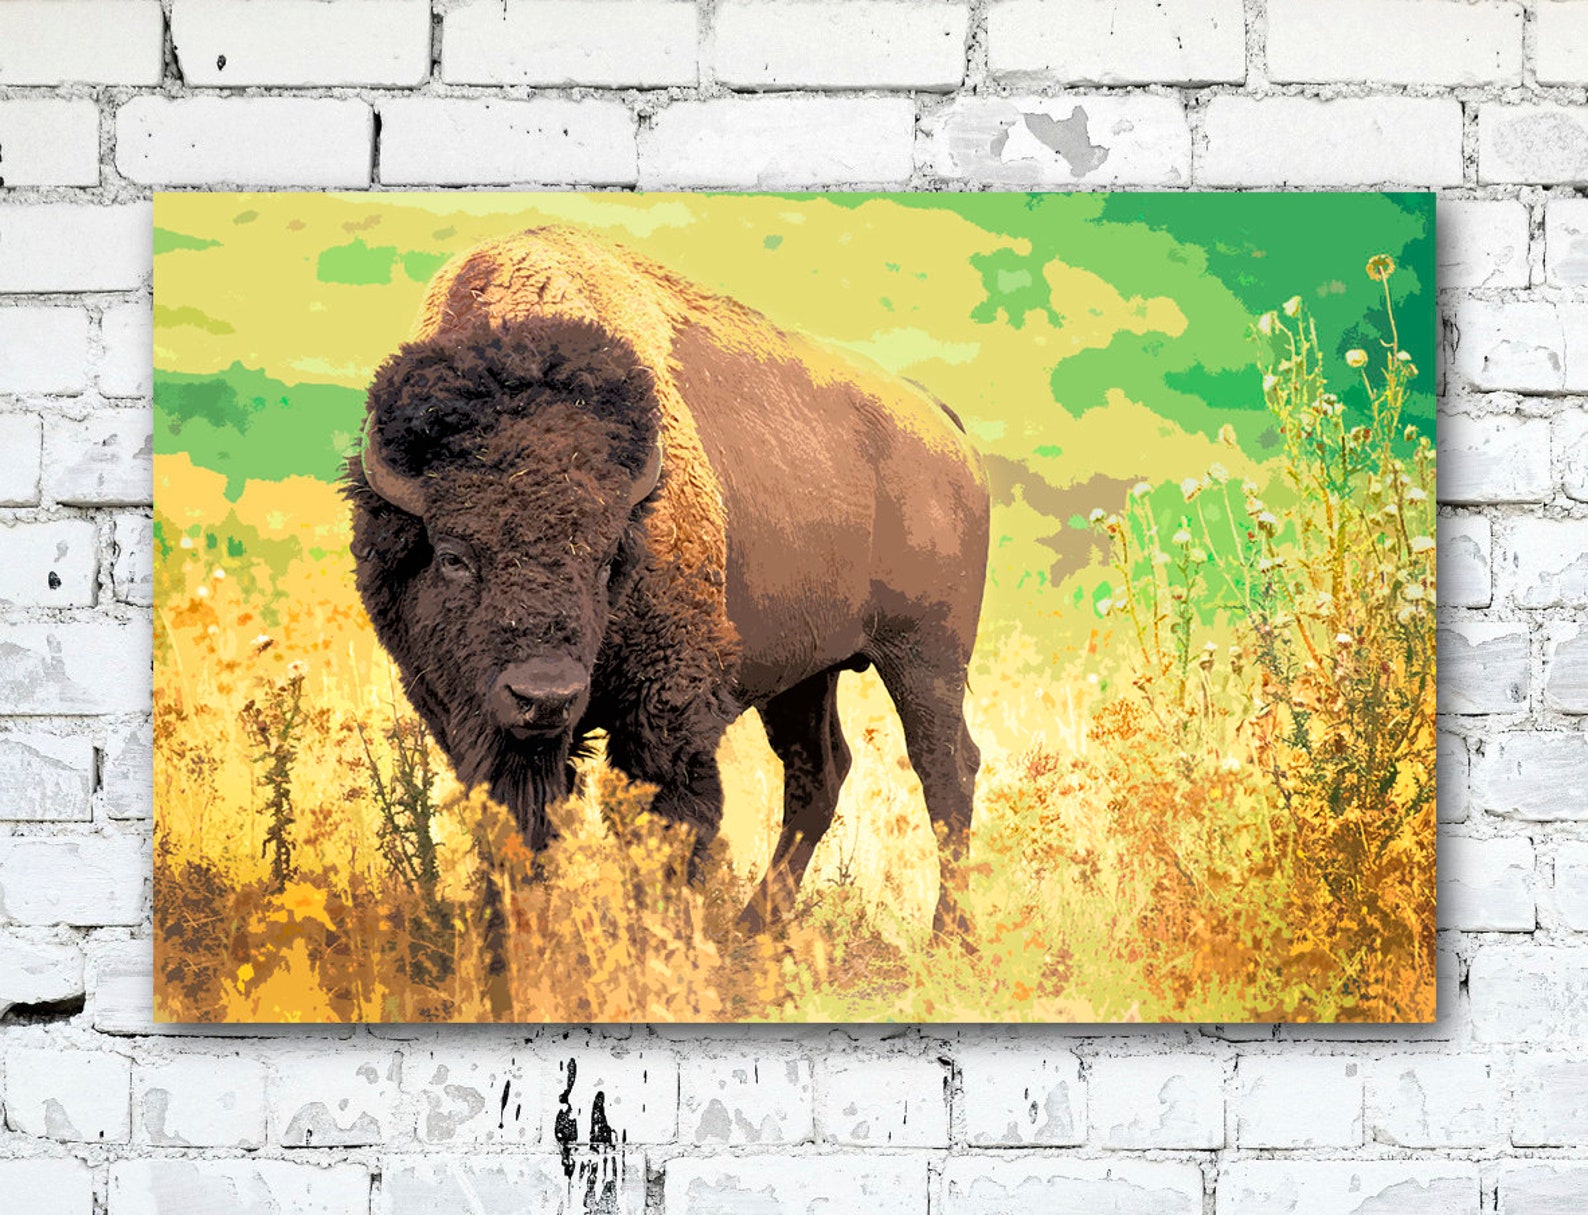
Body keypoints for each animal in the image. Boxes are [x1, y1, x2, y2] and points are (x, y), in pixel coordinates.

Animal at [348, 225, 990, 930]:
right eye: (454, 556)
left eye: (607, 558)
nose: (544, 696)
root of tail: (939, 421)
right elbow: (520, 827)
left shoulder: (664, 708)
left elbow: (666, 826)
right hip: (808, 672)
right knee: (819, 774)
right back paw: (754, 932)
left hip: (926, 656)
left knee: (945, 771)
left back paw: (950, 936)